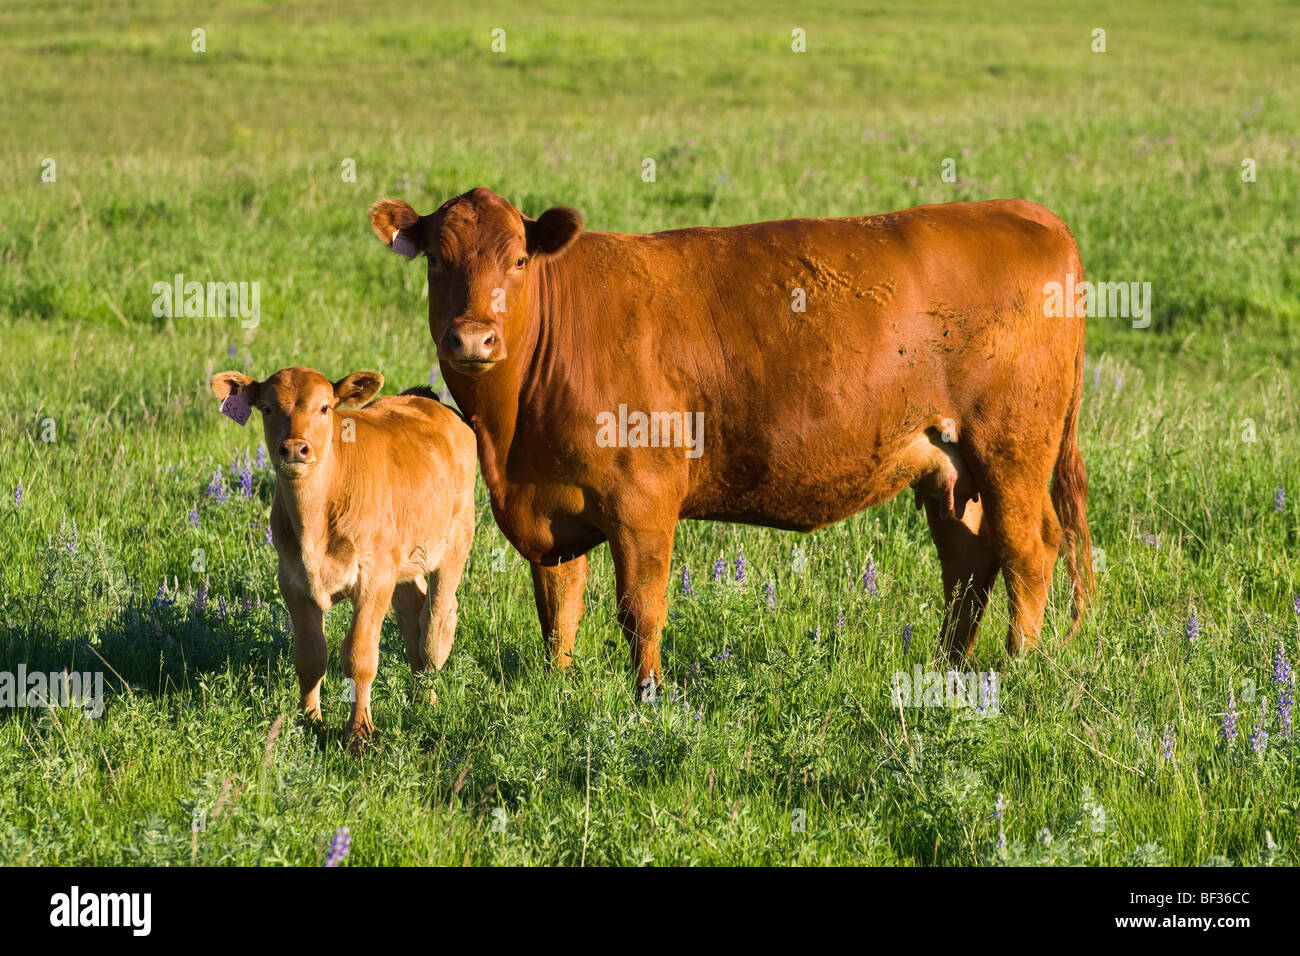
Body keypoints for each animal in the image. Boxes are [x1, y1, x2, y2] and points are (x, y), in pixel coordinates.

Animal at [208, 366, 478, 749]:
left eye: (324, 408)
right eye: (267, 408)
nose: (294, 448)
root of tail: (424, 399)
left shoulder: (373, 578)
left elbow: (359, 657)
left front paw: (359, 733)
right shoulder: (293, 582)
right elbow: (310, 657)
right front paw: (308, 723)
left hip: (455, 541)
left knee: (435, 623)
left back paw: (428, 701)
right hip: (404, 560)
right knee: (413, 615)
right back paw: (415, 694)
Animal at [371, 187, 1092, 697]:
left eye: (518, 259)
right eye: (437, 259)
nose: (473, 337)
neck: (512, 435)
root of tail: (1023, 212)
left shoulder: (642, 501)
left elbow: (641, 610)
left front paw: (648, 698)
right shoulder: (550, 508)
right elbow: (559, 610)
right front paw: (557, 690)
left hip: (1012, 448)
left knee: (1030, 549)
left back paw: (1016, 667)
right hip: (949, 465)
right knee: (969, 563)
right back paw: (948, 672)